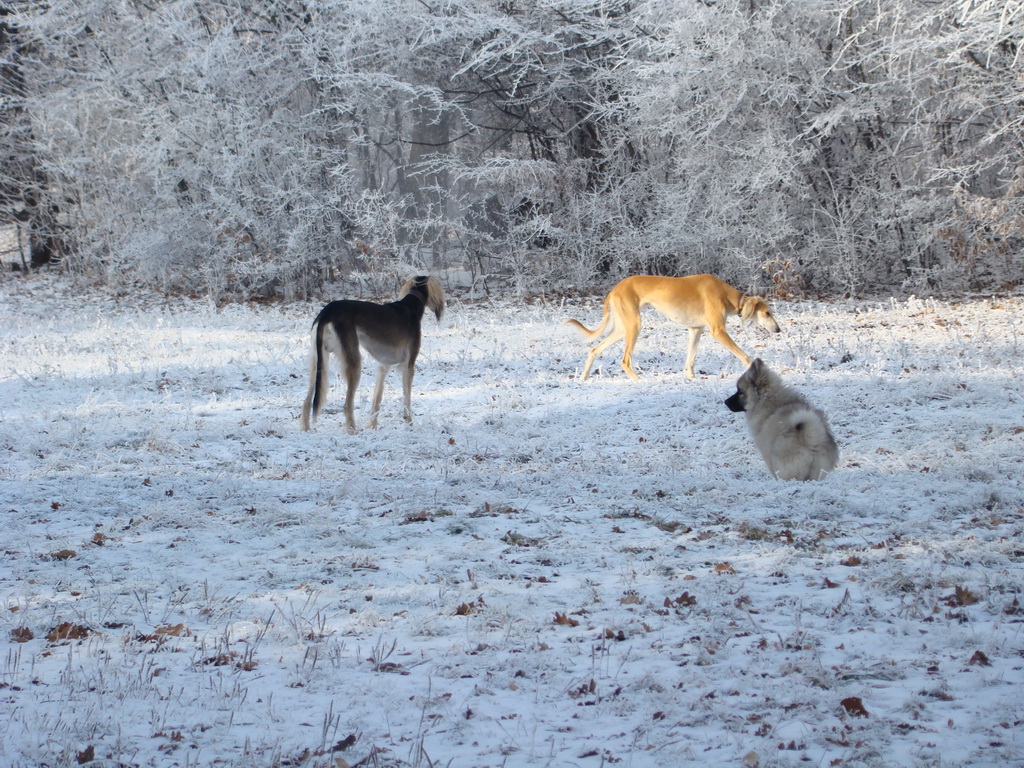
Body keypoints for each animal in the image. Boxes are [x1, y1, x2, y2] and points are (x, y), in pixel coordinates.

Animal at [569, 276, 774, 385]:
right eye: (767, 313)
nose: (778, 329)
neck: (727, 295)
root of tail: (615, 289)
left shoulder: (695, 330)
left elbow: (690, 359)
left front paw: (691, 377)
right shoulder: (718, 331)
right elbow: (744, 355)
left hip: (622, 329)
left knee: (594, 349)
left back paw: (583, 377)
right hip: (634, 326)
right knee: (625, 360)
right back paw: (639, 380)